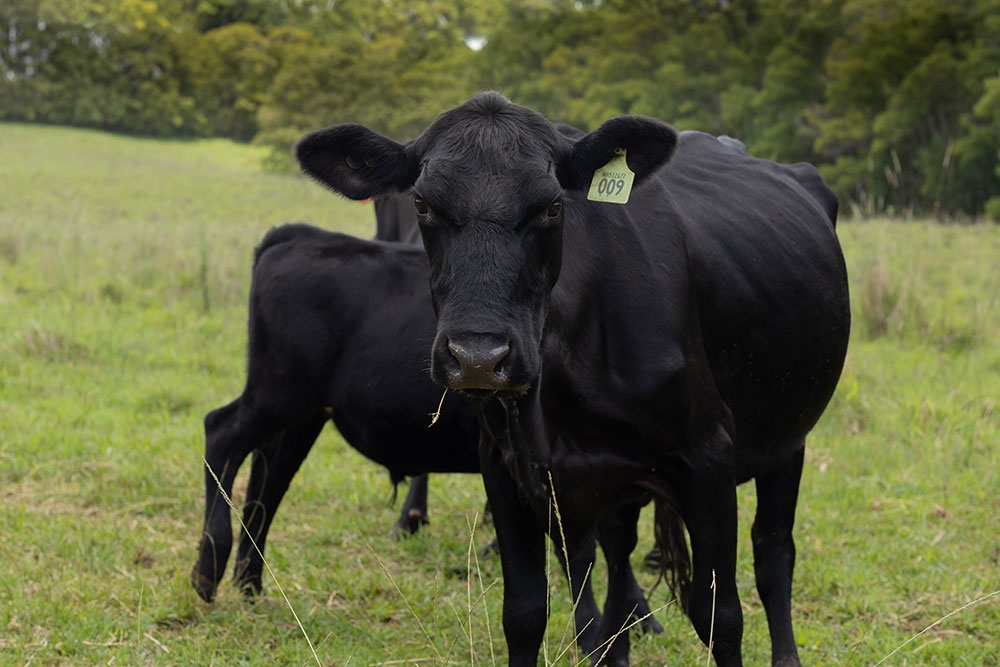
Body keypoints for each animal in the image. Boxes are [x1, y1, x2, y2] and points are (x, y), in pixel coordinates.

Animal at [189, 223, 662, 653]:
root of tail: (302, 234)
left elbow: (606, 548)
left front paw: (636, 619)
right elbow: (579, 552)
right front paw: (598, 634)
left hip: (303, 410)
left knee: (269, 475)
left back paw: (249, 582)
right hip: (278, 391)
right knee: (222, 432)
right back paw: (209, 568)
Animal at [295, 91, 851, 666]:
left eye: (553, 206)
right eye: (423, 205)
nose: (478, 357)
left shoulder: (709, 458)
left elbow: (720, 616)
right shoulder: (507, 465)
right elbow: (524, 613)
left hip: (788, 436)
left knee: (773, 551)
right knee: (621, 548)